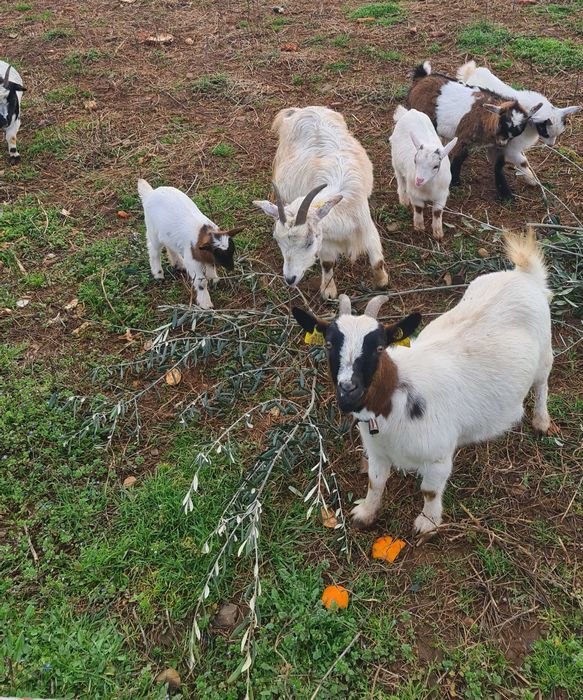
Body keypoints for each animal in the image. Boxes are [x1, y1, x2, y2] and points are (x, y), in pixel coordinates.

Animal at [137, 179, 241, 309]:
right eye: (219, 254)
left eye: (232, 250)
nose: (231, 267)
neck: (203, 234)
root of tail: (150, 193)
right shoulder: (192, 261)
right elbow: (201, 281)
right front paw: (206, 304)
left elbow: (210, 265)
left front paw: (213, 279)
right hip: (152, 230)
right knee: (153, 250)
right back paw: (158, 274)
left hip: (167, 234)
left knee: (170, 246)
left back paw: (178, 264)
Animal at [253, 106, 389, 300]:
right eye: (277, 240)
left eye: (309, 242)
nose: (290, 279)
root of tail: (301, 110)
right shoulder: (326, 238)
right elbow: (327, 263)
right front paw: (329, 291)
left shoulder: (365, 225)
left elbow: (377, 261)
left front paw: (382, 282)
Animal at [293, 229, 553, 535]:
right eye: (329, 344)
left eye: (379, 347)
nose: (348, 389)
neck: (396, 399)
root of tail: (524, 275)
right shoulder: (377, 451)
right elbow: (375, 482)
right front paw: (365, 513)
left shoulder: (438, 457)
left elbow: (429, 491)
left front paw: (427, 524)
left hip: (544, 352)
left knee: (542, 385)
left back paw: (541, 421)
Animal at [390, 105, 457, 240]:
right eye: (415, 161)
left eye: (436, 166)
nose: (419, 180)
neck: (428, 188)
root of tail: (410, 112)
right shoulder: (414, 193)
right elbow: (418, 208)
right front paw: (419, 227)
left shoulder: (441, 195)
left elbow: (437, 212)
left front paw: (438, 233)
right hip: (395, 159)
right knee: (400, 178)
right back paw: (403, 199)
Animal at [407, 61, 542, 200]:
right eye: (502, 123)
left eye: (518, 130)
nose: (502, 142)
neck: (485, 116)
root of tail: (421, 78)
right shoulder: (463, 137)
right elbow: (459, 156)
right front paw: (455, 181)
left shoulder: (495, 146)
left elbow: (498, 165)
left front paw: (506, 194)